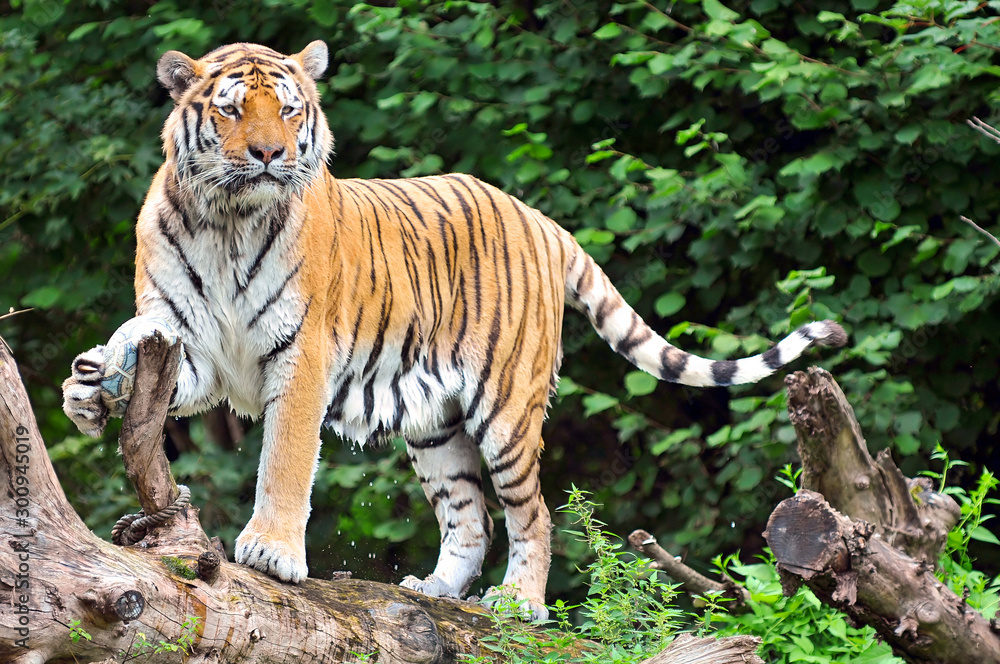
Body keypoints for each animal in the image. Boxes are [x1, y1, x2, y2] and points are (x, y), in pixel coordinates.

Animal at [62, 40, 847, 620]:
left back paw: (519, 602)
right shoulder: (193, 347)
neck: (226, 219)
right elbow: (150, 356)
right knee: (471, 518)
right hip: (435, 423)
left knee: (533, 515)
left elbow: (284, 457)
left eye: (286, 110)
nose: (267, 155)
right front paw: (92, 385)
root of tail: (541, 220)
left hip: (507, 409)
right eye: (230, 112)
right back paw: (435, 591)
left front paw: (272, 550)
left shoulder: (300, 356)